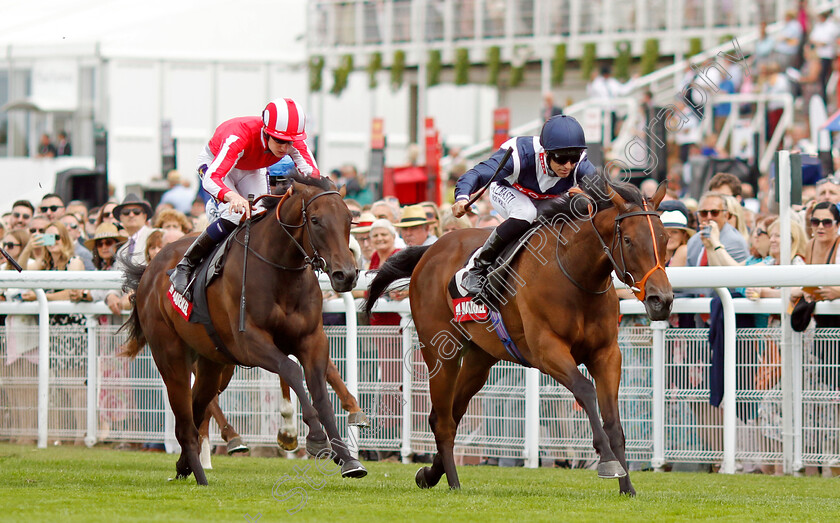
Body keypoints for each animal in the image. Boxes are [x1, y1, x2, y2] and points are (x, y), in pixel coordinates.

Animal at [120, 176, 368, 488]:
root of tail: (150, 270)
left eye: (349, 219)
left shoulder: (312, 340)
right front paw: (314, 437)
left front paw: (347, 458)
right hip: (171, 356)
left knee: (197, 410)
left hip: (213, 364)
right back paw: (201, 476)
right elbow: (291, 369)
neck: (281, 272)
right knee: (185, 422)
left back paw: (185, 465)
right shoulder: (249, 341)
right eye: (315, 220)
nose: (346, 275)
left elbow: (321, 393)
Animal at [364, 176, 672, 496]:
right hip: (440, 352)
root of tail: (430, 249)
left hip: (479, 359)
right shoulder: (547, 350)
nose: (661, 300)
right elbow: (585, 390)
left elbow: (613, 422)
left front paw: (627, 487)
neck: (575, 273)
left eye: (665, 239)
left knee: (451, 413)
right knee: (444, 421)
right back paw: (453, 482)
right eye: (629, 240)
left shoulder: (607, 353)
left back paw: (429, 474)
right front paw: (609, 462)